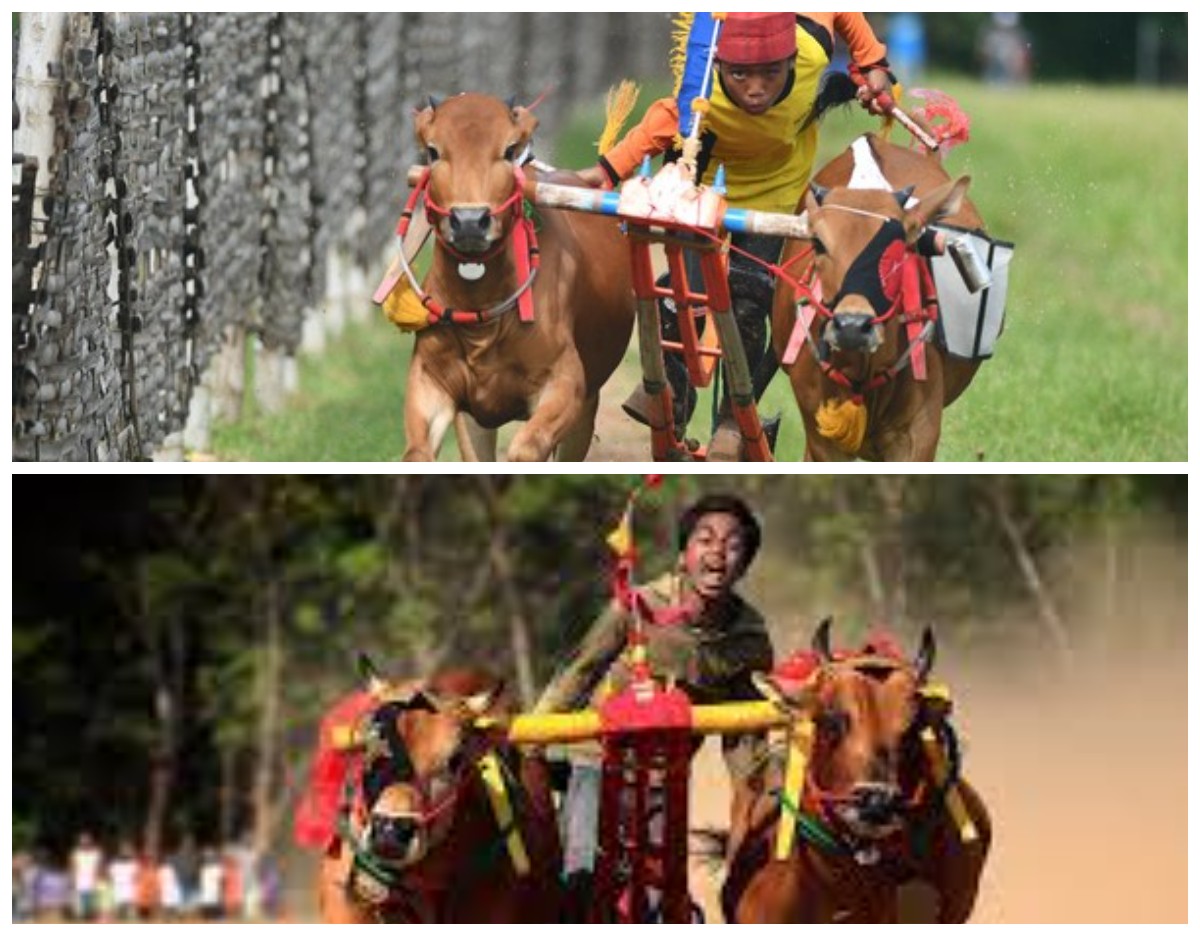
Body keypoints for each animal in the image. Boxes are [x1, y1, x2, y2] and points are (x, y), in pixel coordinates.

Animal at [403, 94, 638, 460]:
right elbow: (417, 454)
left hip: (587, 408)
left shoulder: (566, 382)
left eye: (510, 149)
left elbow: (525, 450)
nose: (469, 221)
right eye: (433, 151)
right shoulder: (436, 384)